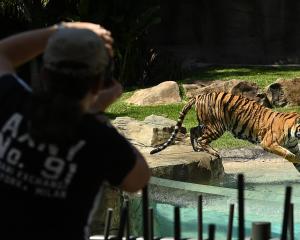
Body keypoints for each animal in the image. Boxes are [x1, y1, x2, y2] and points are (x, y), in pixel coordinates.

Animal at [150, 91, 300, 172]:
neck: (294, 133)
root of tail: (199, 95)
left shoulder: (293, 146)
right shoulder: (268, 143)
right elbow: (288, 154)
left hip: (205, 124)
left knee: (193, 131)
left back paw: (196, 149)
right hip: (216, 126)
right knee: (202, 139)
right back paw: (213, 152)